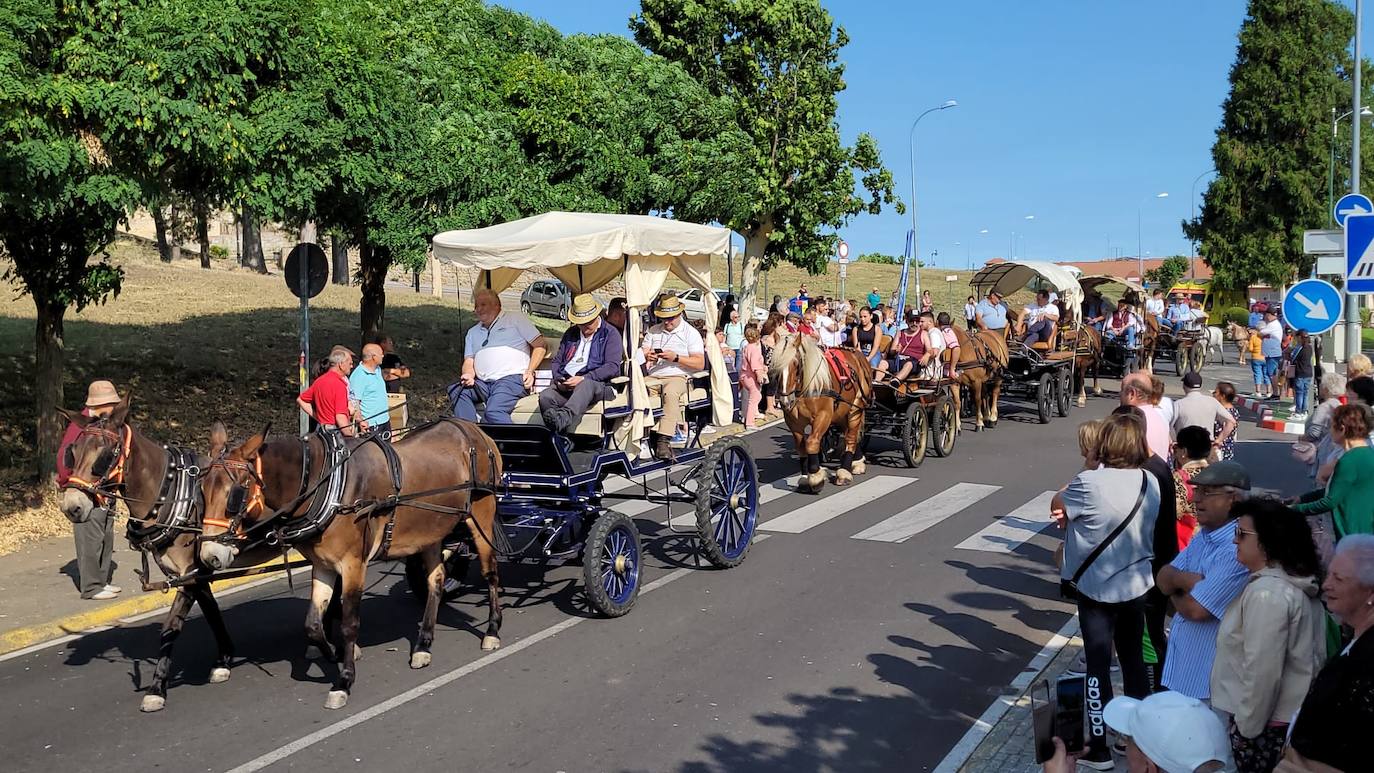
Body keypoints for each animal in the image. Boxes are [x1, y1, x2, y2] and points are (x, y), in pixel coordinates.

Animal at [57, 398, 244, 713]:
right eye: (73, 451)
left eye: (104, 455)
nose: (72, 506)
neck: (169, 494)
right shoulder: (194, 572)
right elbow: (211, 610)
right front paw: (224, 659)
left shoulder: (190, 574)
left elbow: (171, 627)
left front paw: (157, 688)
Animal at [199, 420, 505, 708]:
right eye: (201, 491)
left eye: (235, 495)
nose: (209, 555)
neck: (326, 484)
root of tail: (472, 429)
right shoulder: (322, 564)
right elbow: (312, 624)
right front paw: (336, 653)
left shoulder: (353, 564)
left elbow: (349, 623)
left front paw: (344, 681)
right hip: (431, 531)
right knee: (436, 580)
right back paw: (423, 644)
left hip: (481, 513)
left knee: (490, 572)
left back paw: (491, 630)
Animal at [769, 333, 873, 494]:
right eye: (775, 366)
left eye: (796, 364)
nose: (785, 401)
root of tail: (858, 353)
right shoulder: (793, 422)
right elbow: (801, 447)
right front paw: (805, 478)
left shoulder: (823, 416)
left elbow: (812, 443)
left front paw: (815, 478)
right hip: (841, 412)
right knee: (850, 434)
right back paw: (857, 461)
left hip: (855, 409)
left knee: (850, 437)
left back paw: (844, 472)